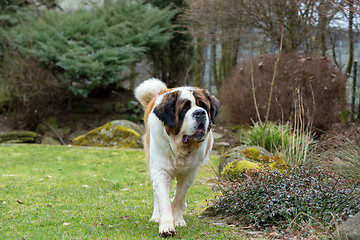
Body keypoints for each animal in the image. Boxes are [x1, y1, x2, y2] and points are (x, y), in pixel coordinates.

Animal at [134, 78, 219, 236]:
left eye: (204, 106)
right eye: (185, 108)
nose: (200, 113)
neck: (180, 147)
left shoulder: (190, 173)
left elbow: (179, 197)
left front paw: (178, 220)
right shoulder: (160, 171)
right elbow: (164, 199)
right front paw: (166, 225)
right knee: (156, 194)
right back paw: (156, 216)